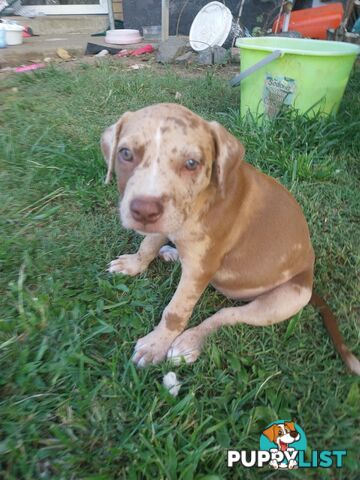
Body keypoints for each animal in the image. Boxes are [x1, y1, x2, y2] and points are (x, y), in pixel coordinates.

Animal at [100, 103, 360, 374]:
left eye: (191, 163)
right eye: (126, 153)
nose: (144, 211)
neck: (202, 200)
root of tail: (309, 276)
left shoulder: (200, 269)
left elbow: (176, 311)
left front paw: (156, 344)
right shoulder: (168, 222)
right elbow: (148, 245)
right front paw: (134, 263)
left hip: (283, 301)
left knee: (225, 314)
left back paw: (190, 342)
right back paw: (171, 252)